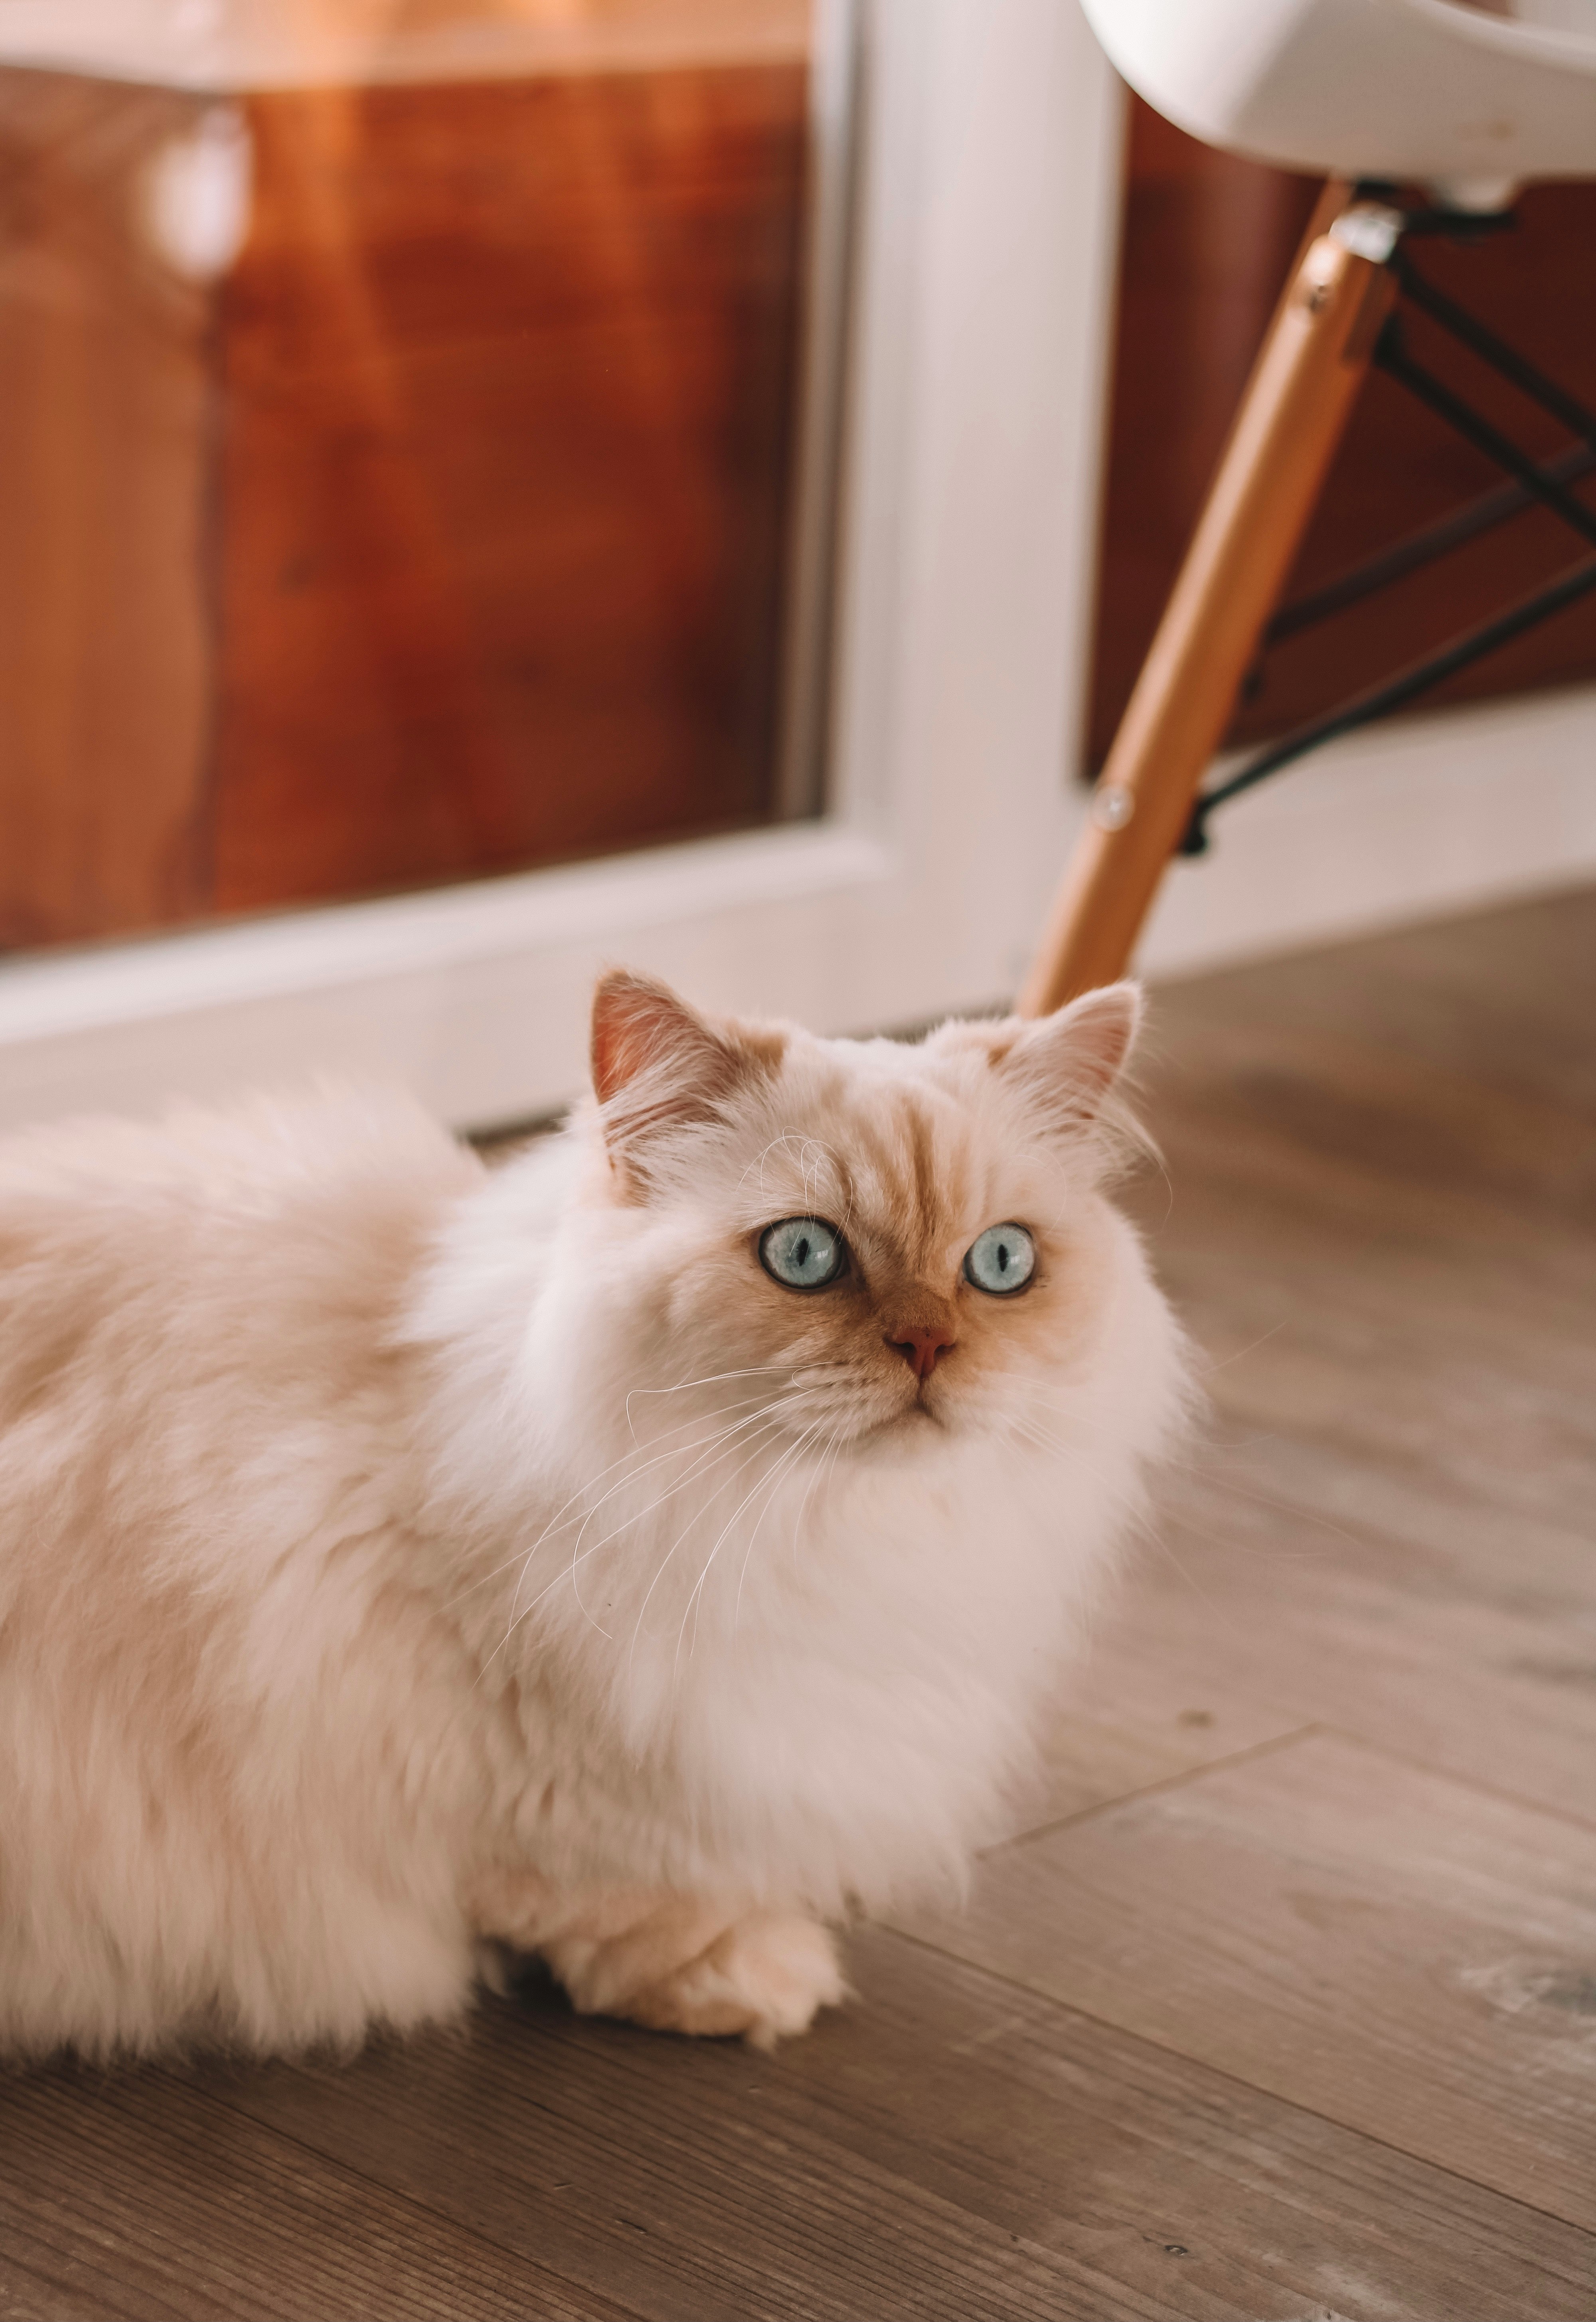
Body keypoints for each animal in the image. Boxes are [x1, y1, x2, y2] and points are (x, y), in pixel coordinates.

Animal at [0, 970, 1185, 2062]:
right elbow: (623, 1904)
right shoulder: (543, 1780)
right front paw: (751, 1978)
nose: (930, 1344)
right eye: (804, 1256)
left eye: (1001, 1262)